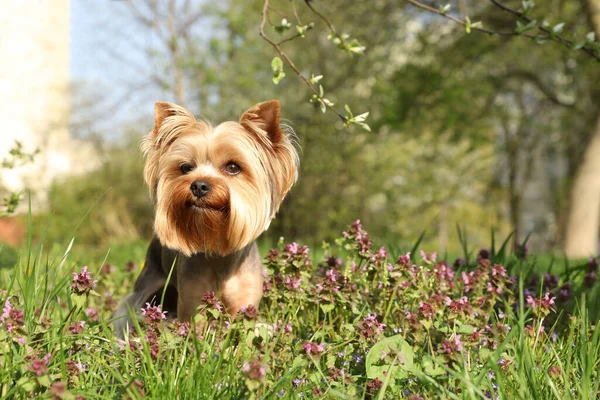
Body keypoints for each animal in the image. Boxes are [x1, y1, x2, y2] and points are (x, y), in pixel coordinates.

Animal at [112, 98, 298, 336]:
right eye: (186, 167)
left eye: (233, 167)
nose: (199, 185)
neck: (218, 247)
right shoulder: (192, 298)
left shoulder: (244, 300)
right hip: (148, 280)